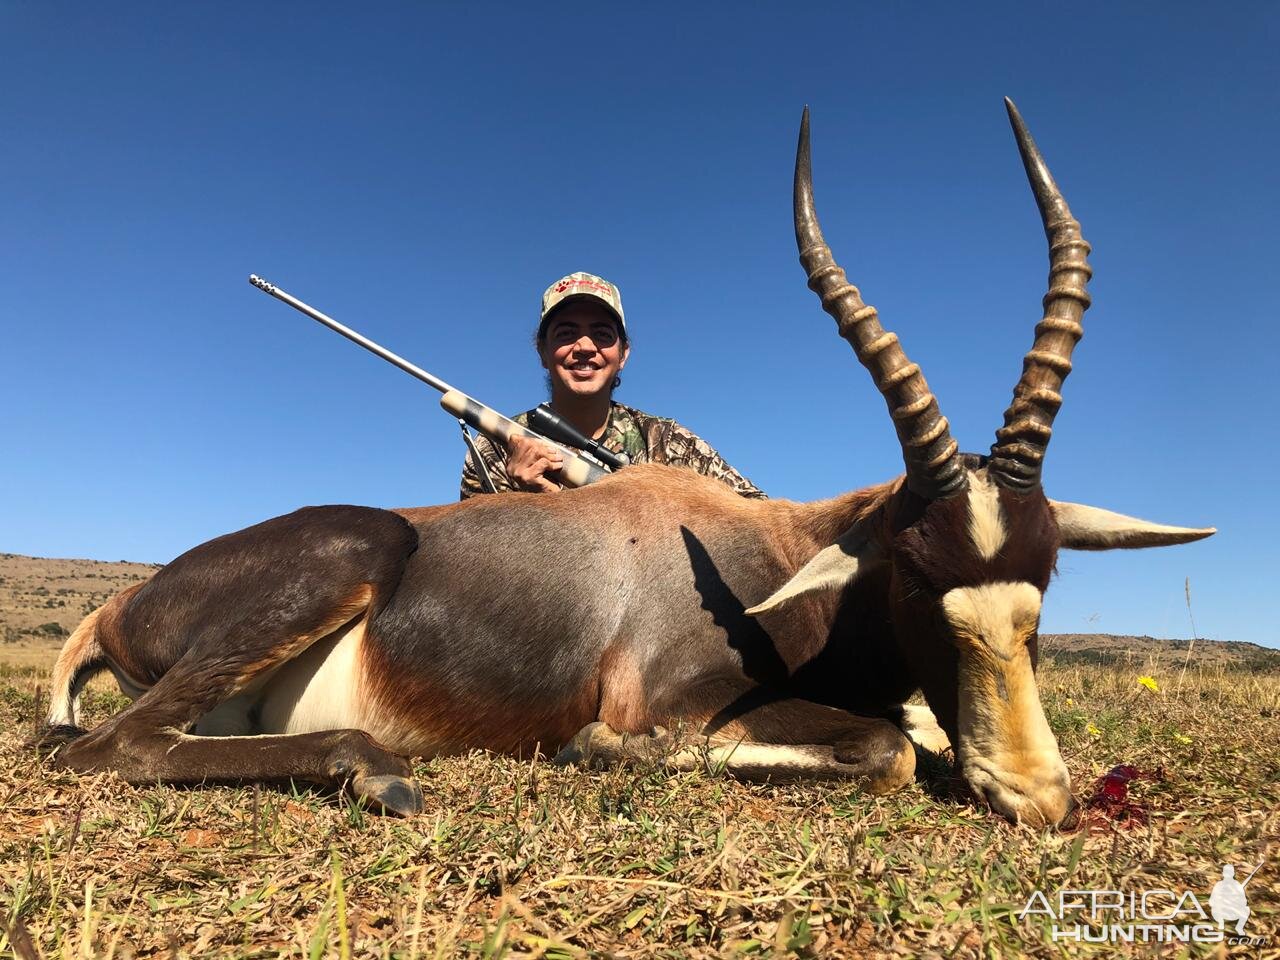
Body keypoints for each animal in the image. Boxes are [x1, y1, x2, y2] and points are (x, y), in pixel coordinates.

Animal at [37, 103, 1208, 829]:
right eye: (917, 578)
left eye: (1044, 581)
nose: (1036, 797)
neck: (767, 552)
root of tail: (120, 606)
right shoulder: (677, 704)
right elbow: (883, 749)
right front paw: (588, 750)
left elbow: (910, 729)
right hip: (352, 550)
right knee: (109, 750)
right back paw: (377, 775)